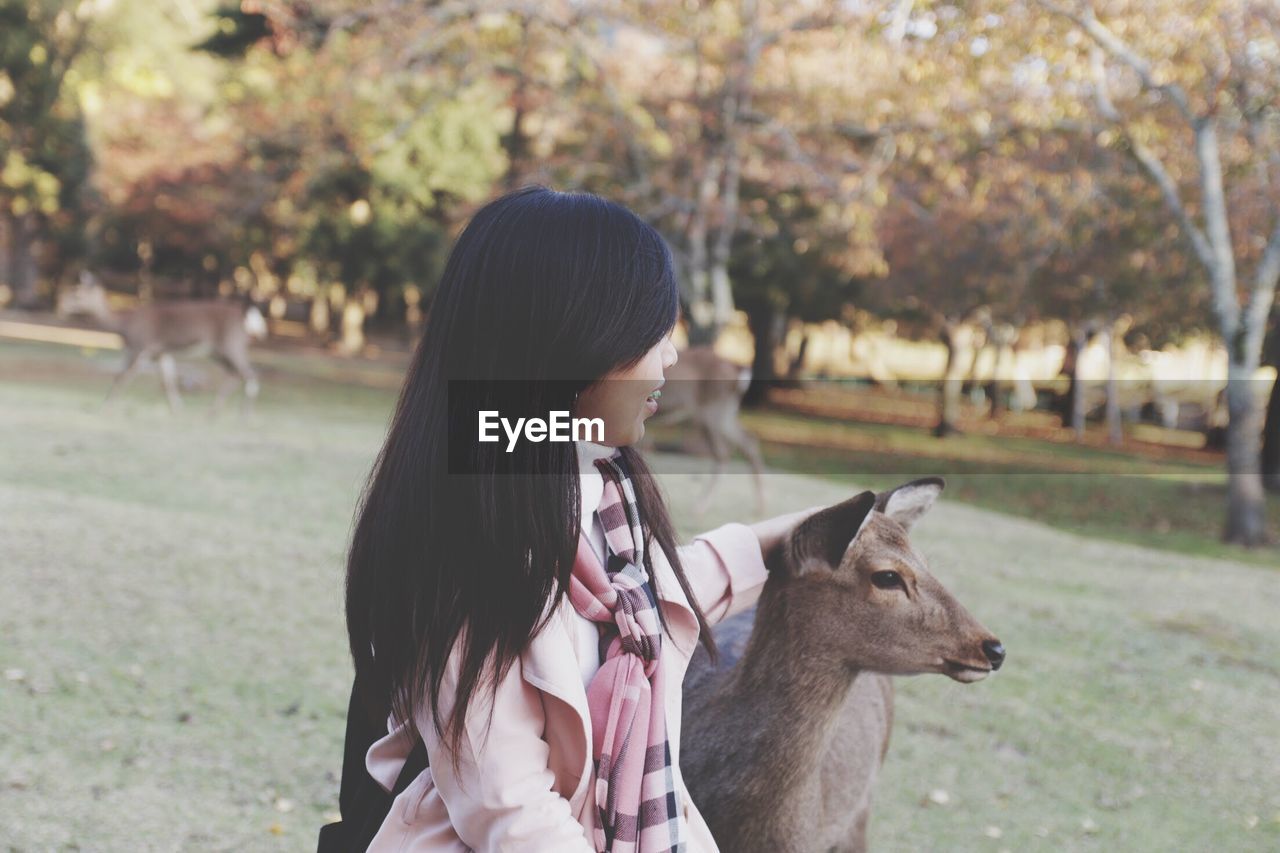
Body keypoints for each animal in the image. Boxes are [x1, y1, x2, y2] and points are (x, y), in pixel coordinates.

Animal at [55, 270, 267, 417]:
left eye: (77, 293)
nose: (62, 304)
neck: (124, 326)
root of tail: (245, 316)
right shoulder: (161, 352)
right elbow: (168, 381)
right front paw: (178, 410)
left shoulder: (141, 346)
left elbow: (122, 377)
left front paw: (104, 408)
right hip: (217, 351)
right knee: (235, 374)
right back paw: (212, 412)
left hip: (231, 343)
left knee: (250, 373)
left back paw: (245, 415)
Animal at [645, 343, 762, 514]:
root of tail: (739, 370)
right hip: (725, 412)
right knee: (749, 441)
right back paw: (760, 505)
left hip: (711, 411)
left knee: (723, 453)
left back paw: (700, 506)